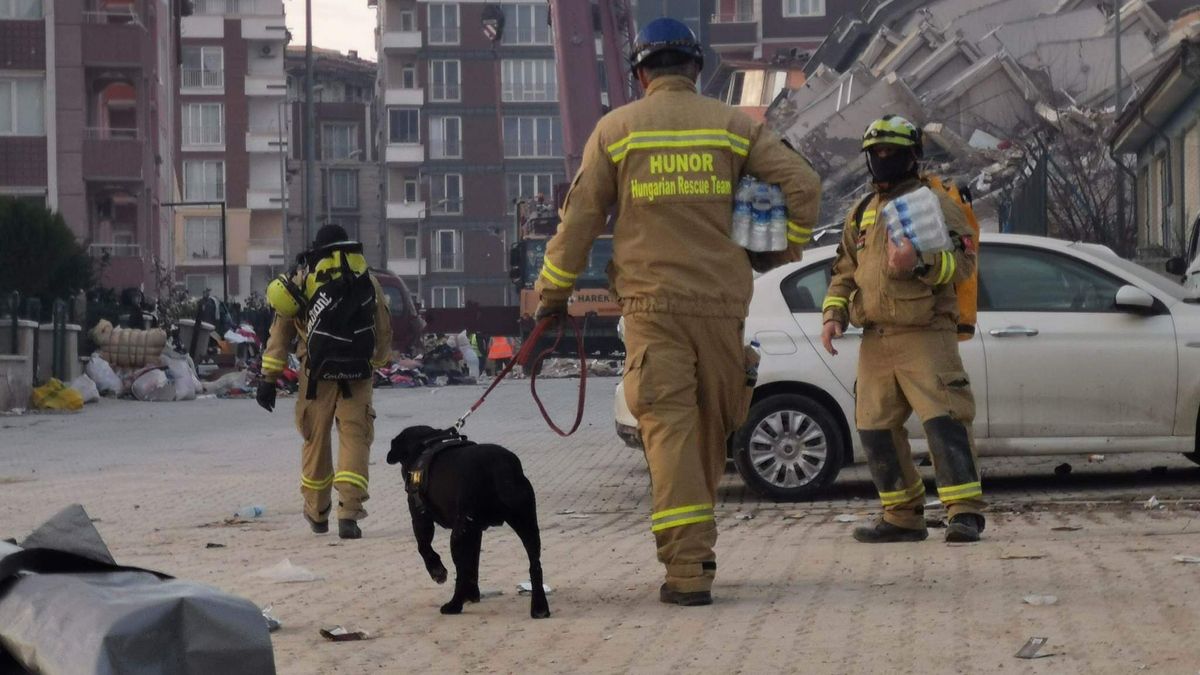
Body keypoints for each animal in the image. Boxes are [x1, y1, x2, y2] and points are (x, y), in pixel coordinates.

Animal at [386, 422, 549, 619]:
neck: (426, 443)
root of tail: (500, 467)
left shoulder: (420, 517)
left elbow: (424, 547)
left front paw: (437, 571)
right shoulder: (476, 531)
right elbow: (474, 563)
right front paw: (473, 593)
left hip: (459, 534)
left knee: (461, 572)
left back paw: (454, 605)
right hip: (527, 524)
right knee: (535, 565)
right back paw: (539, 607)